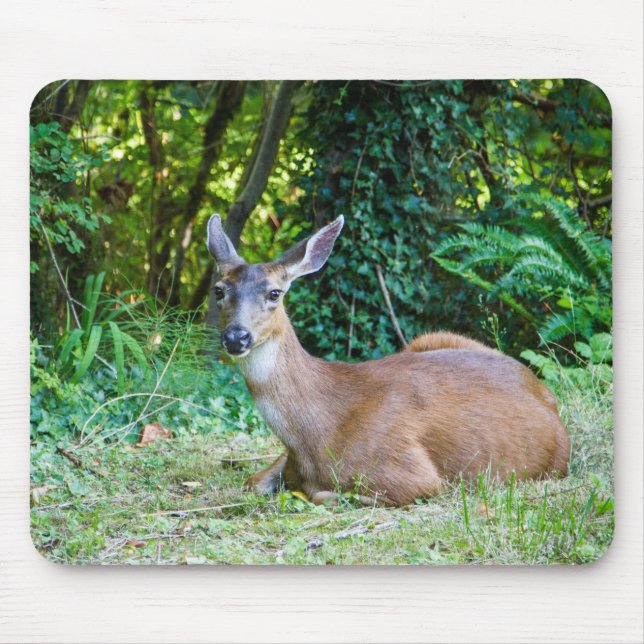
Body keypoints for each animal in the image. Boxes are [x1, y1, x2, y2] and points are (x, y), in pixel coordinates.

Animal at [206, 214, 570, 506]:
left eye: (274, 293)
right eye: (219, 290)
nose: (236, 337)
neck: (316, 431)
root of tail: (547, 395)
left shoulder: (417, 477)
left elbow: (322, 494)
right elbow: (253, 482)